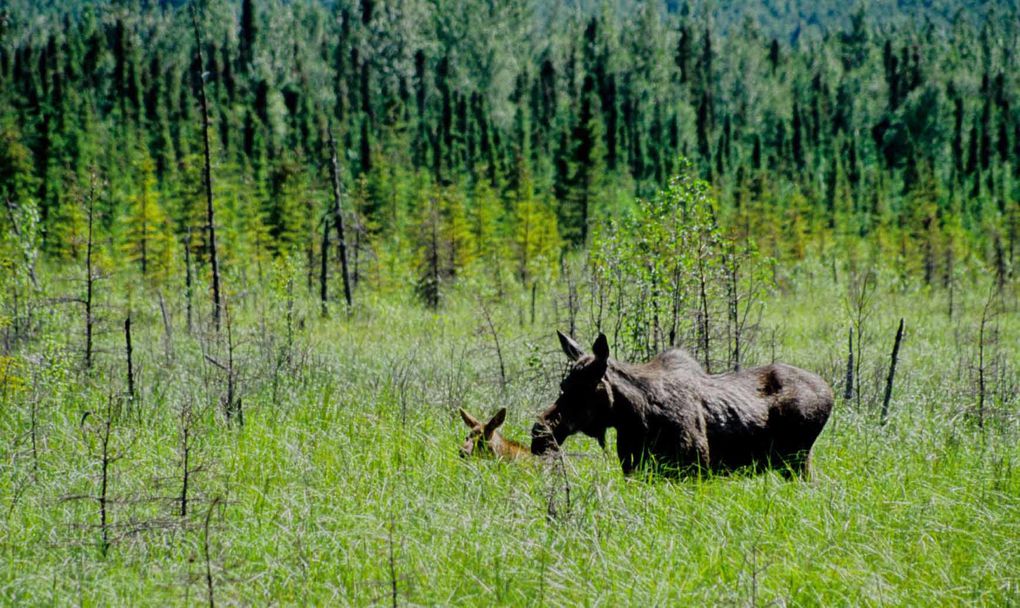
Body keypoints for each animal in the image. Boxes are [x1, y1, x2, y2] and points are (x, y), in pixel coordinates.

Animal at [530, 330, 832, 477]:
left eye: (584, 389)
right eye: (564, 385)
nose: (539, 432)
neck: (633, 417)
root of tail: (829, 392)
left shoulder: (694, 467)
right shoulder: (634, 470)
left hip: (797, 459)